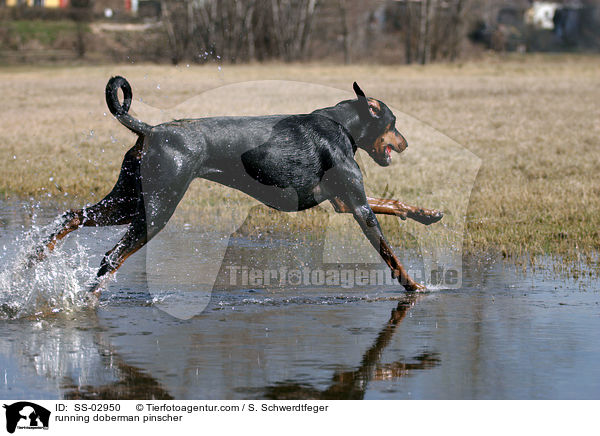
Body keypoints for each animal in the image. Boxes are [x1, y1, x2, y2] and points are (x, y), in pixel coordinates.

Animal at [35, 76, 442, 294]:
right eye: (394, 122)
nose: (406, 142)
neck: (341, 124)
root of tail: (150, 130)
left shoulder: (343, 200)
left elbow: (394, 204)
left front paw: (427, 214)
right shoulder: (356, 207)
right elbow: (390, 254)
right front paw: (415, 287)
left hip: (127, 200)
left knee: (71, 217)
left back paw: (35, 259)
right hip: (157, 208)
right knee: (111, 256)